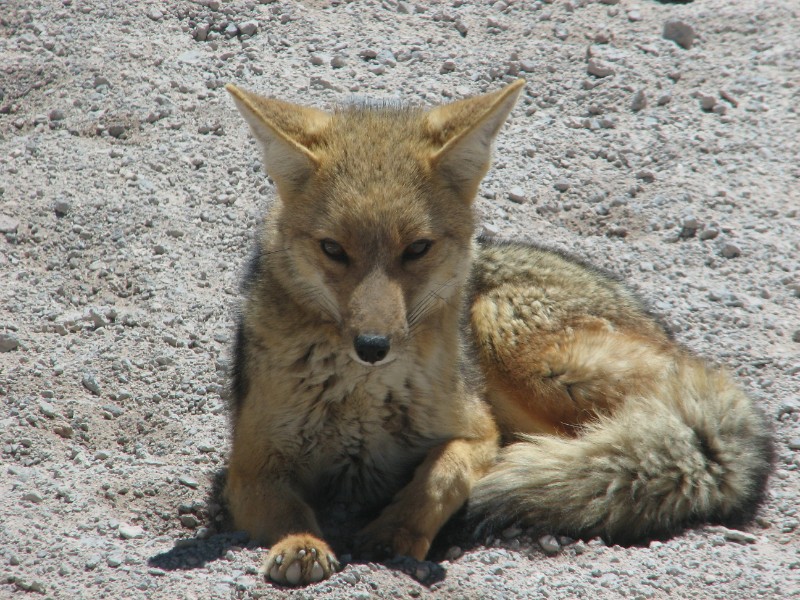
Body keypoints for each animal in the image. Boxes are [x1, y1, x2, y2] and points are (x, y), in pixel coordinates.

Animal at [222, 79, 772, 586]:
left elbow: (441, 476)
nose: (373, 347)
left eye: (416, 249)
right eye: (333, 250)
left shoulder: (476, 430)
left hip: (503, 334)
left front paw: (397, 531)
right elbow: (290, 510)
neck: (362, 398)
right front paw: (302, 544)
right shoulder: (250, 466)